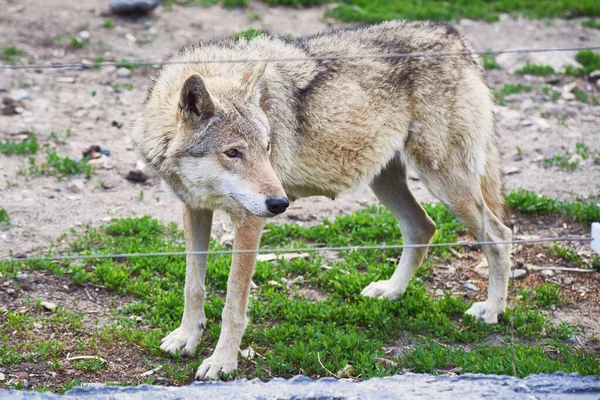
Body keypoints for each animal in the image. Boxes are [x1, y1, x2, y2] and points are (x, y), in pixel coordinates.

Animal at [134, 20, 512, 380]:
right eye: (233, 152)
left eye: (267, 148)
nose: (280, 204)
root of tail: (455, 38)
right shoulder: (195, 209)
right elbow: (192, 286)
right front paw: (187, 338)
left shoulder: (249, 222)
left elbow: (233, 303)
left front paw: (222, 362)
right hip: (386, 182)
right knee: (423, 227)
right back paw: (391, 291)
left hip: (445, 185)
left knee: (499, 235)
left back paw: (492, 310)